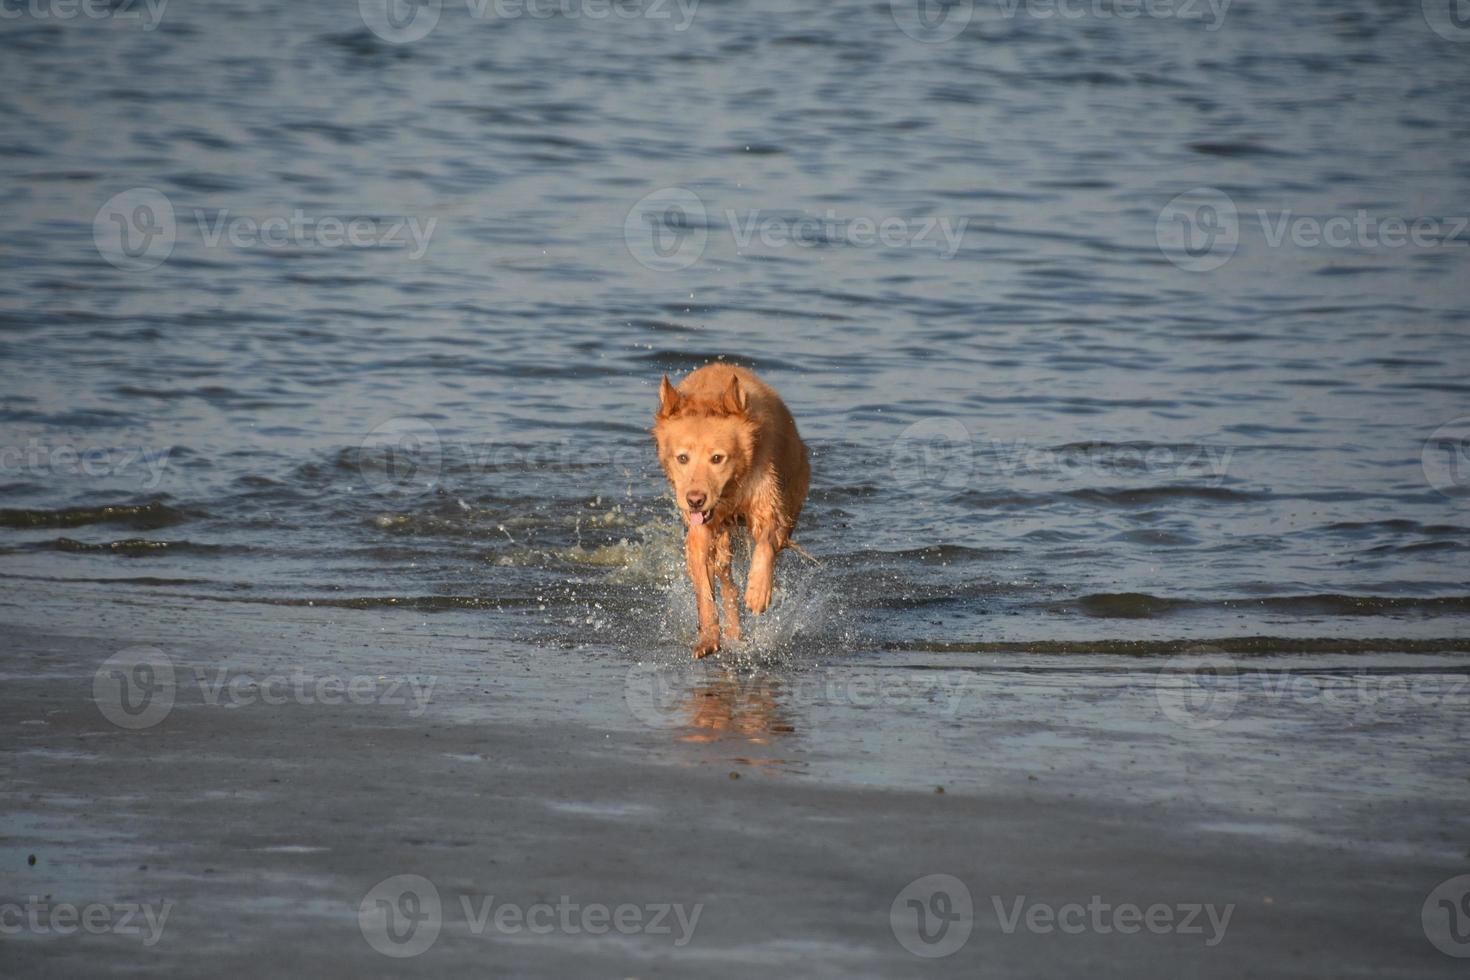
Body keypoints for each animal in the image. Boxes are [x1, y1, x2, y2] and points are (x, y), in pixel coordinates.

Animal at [658, 364, 817, 655]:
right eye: (683, 458)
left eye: (717, 458)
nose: (695, 500)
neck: (730, 492)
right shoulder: (700, 529)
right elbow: (704, 587)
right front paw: (709, 637)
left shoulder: (767, 501)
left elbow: (766, 541)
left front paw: (758, 591)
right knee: (726, 582)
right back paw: (732, 632)